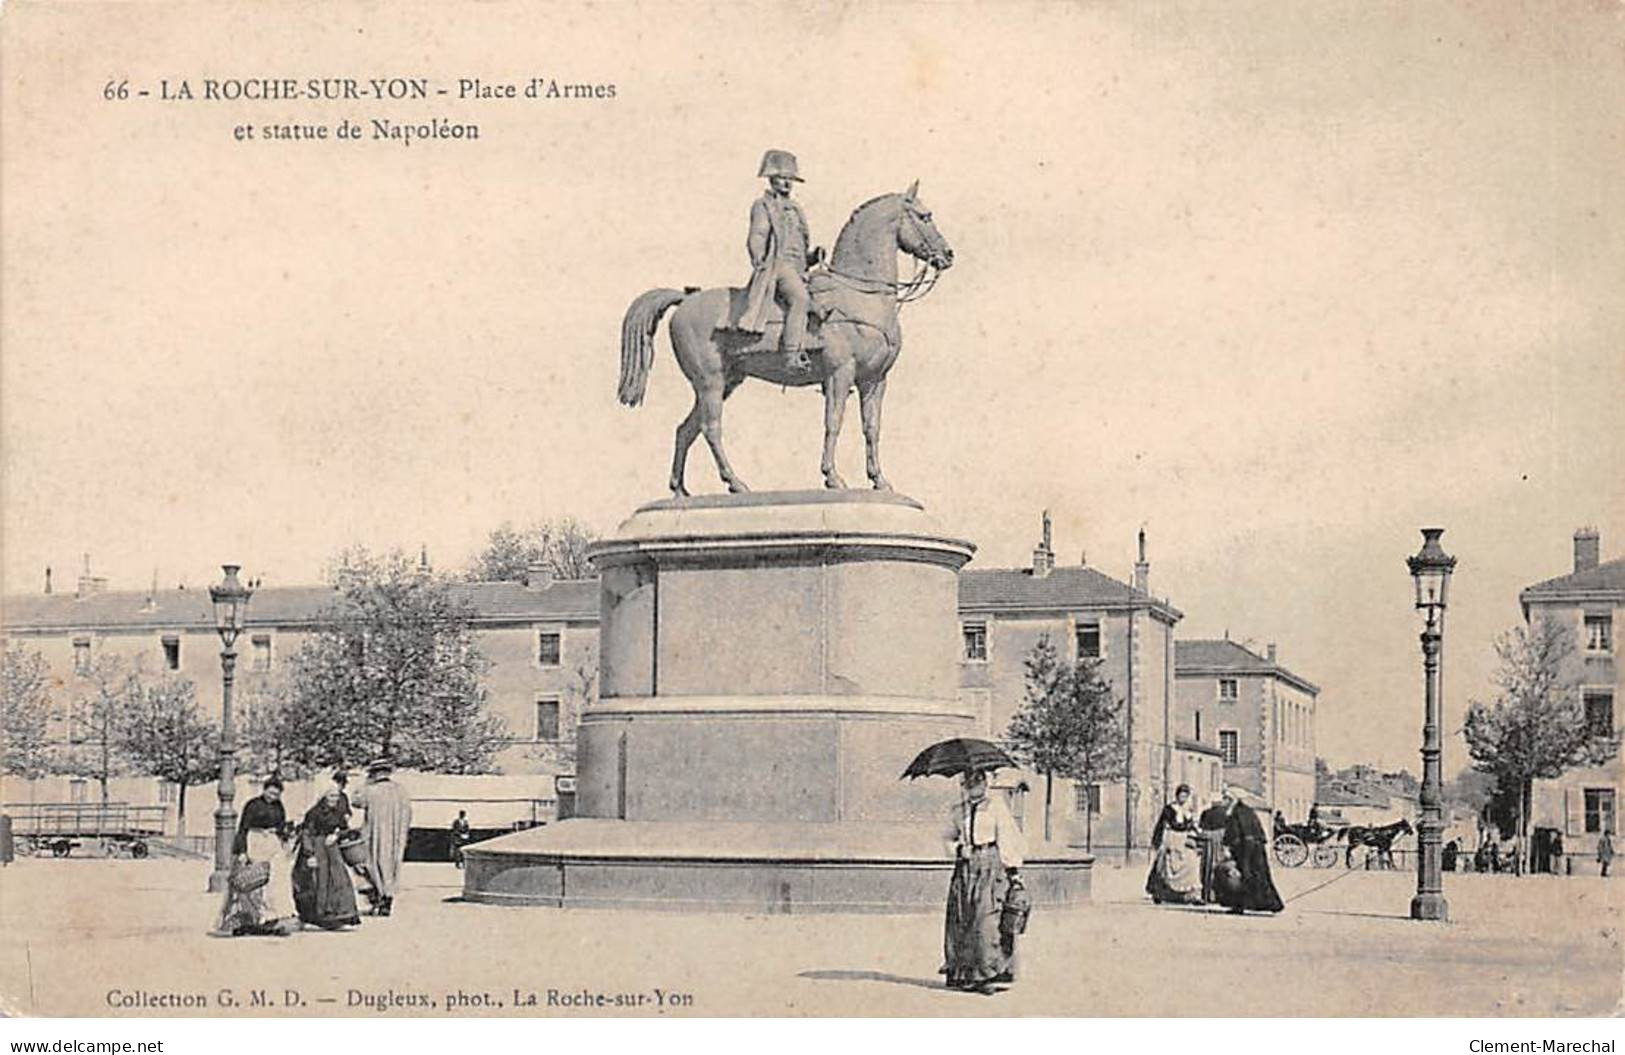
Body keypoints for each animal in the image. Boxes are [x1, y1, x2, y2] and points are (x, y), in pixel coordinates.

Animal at [617, 182, 949, 494]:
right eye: (925, 216)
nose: (948, 255)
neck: (860, 295)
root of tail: (686, 298)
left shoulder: (875, 380)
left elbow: (872, 428)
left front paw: (879, 480)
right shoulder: (840, 374)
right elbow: (834, 421)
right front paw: (832, 477)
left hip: (725, 381)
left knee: (686, 429)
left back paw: (681, 491)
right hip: (709, 381)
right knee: (711, 428)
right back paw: (735, 483)